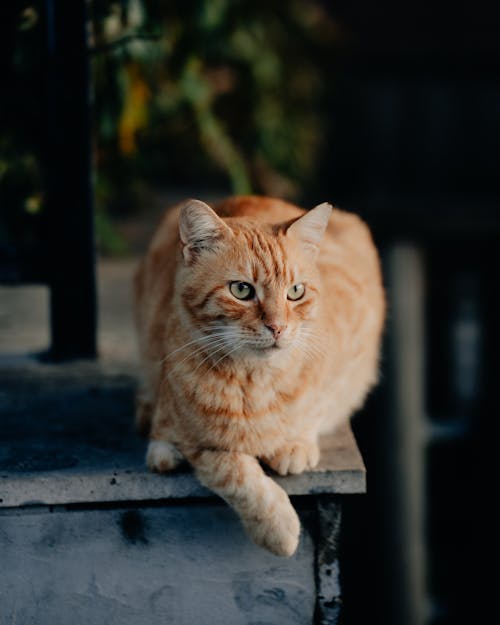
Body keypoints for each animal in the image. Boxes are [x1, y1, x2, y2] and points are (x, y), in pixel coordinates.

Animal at [133, 195, 382, 556]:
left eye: (296, 291)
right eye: (241, 290)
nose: (277, 327)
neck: (254, 383)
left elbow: (317, 404)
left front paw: (294, 443)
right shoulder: (200, 444)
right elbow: (233, 472)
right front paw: (278, 528)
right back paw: (161, 448)